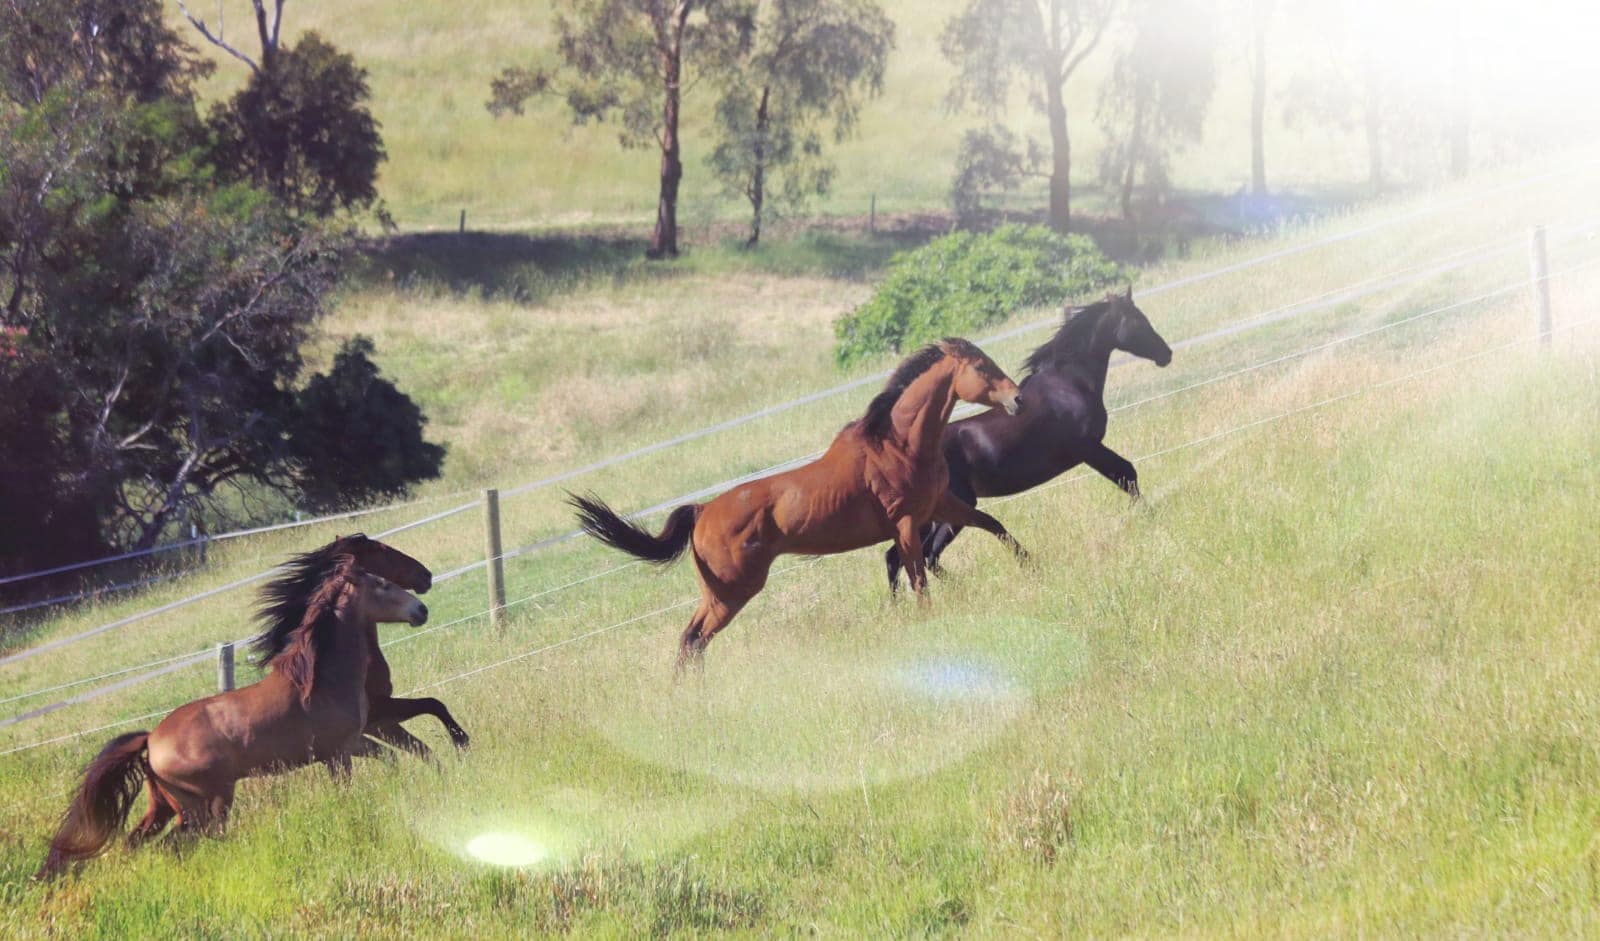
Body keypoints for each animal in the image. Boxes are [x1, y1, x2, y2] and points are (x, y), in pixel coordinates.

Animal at [42, 560, 432, 876]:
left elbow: (392, 758)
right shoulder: (339, 753)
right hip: (208, 805)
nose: (421, 608)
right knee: (184, 842)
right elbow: (352, 785)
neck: (322, 680)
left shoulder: (356, 743)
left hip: (164, 807)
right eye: (381, 583)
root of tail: (151, 739)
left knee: (138, 843)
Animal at [252, 537, 467, 758]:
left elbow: (420, 747)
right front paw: (460, 740)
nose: (426, 574)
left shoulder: (377, 723)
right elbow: (432, 706)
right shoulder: (377, 715)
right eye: (383, 550)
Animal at [572, 337, 1024, 668]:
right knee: (694, 639)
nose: (1017, 399)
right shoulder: (908, 523)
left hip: (718, 593)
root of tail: (701, 512)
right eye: (980, 368)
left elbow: (995, 526)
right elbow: (918, 578)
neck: (898, 445)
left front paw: (1030, 568)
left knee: (690, 640)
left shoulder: (941, 505)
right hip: (732, 592)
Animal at [883, 289, 1171, 592]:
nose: (1166, 354)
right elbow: (1127, 474)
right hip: (948, 508)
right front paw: (1148, 515)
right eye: (1138, 321)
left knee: (901, 557)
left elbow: (1126, 475)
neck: (1068, 384)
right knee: (925, 555)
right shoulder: (1088, 449)